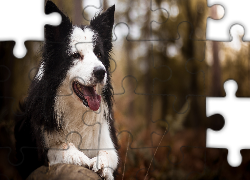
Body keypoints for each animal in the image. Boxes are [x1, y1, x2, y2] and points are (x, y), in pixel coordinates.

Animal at [14, 0, 119, 179]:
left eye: (99, 54)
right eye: (75, 55)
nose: (101, 72)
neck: (77, 110)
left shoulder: (105, 136)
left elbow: (109, 155)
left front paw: (101, 165)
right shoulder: (45, 147)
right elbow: (61, 147)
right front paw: (79, 157)